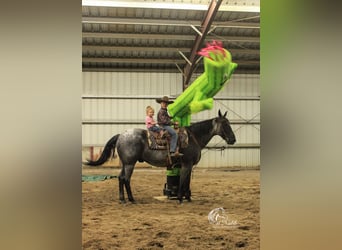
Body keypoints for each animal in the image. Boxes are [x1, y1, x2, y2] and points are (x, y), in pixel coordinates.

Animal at [84, 110, 236, 204]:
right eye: (225, 124)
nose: (233, 139)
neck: (193, 138)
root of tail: (121, 135)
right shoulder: (187, 164)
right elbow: (183, 181)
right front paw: (180, 198)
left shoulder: (188, 166)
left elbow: (187, 182)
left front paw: (188, 198)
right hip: (130, 164)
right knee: (126, 179)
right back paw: (132, 199)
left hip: (125, 163)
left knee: (120, 178)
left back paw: (122, 199)